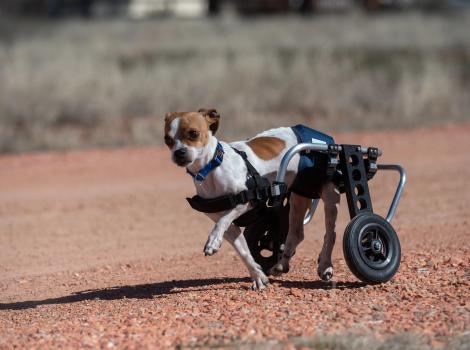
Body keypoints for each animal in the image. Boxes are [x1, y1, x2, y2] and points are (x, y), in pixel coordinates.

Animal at [163, 109, 340, 290]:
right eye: (167, 140)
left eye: (193, 133)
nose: (178, 153)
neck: (212, 168)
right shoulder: (230, 228)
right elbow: (243, 252)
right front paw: (258, 277)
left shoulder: (246, 201)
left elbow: (222, 222)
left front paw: (212, 241)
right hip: (298, 198)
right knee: (297, 233)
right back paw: (281, 264)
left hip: (329, 196)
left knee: (330, 233)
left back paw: (325, 265)